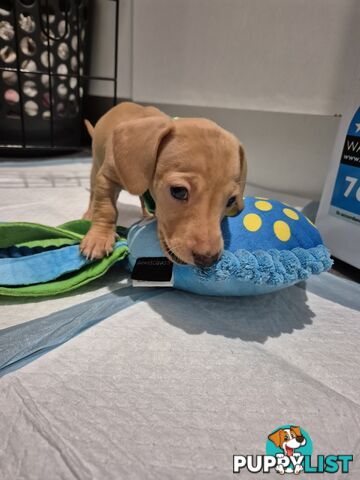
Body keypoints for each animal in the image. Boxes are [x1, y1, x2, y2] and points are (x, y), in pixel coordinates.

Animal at [82, 102, 248, 266]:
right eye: (179, 191)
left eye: (231, 201)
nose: (208, 260)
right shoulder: (106, 178)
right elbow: (105, 209)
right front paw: (98, 238)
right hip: (95, 168)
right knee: (93, 195)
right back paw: (89, 214)